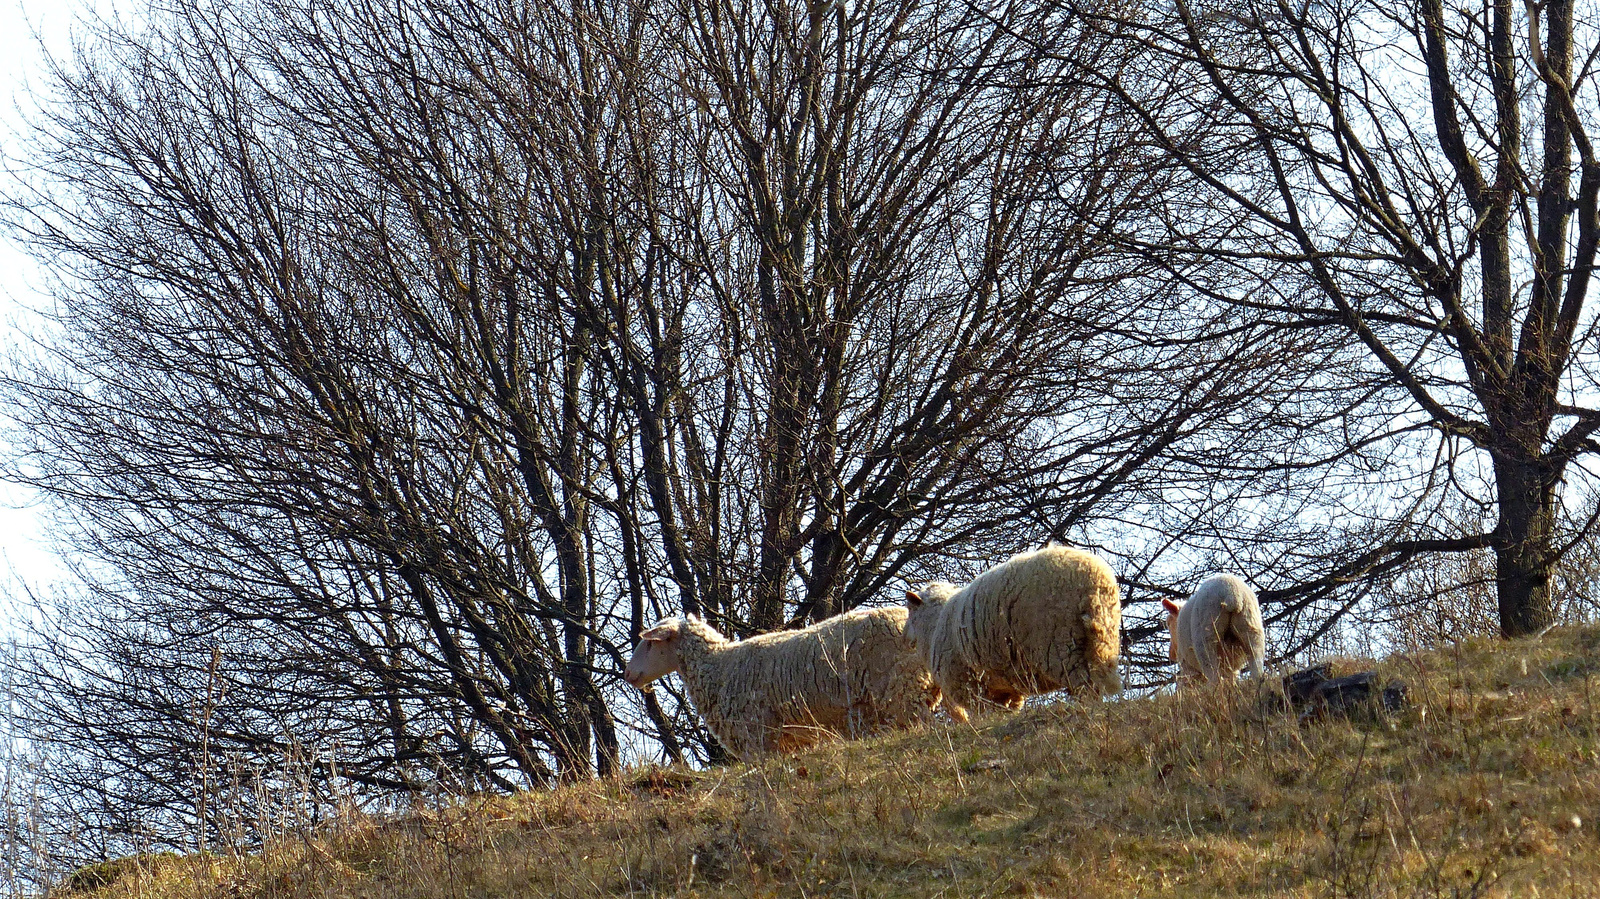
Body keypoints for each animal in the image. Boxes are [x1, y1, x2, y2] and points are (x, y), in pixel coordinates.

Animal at [902, 537, 1126, 719]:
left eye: (909, 612)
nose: (904, 638)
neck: (934, 625)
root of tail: (1095, 579)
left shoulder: (969, 685)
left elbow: (984, 713)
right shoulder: (1005, 689)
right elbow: (1005, 710)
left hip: (1061, 645)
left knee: (1085, 684)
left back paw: (1085, 709)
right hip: (1104, 637)